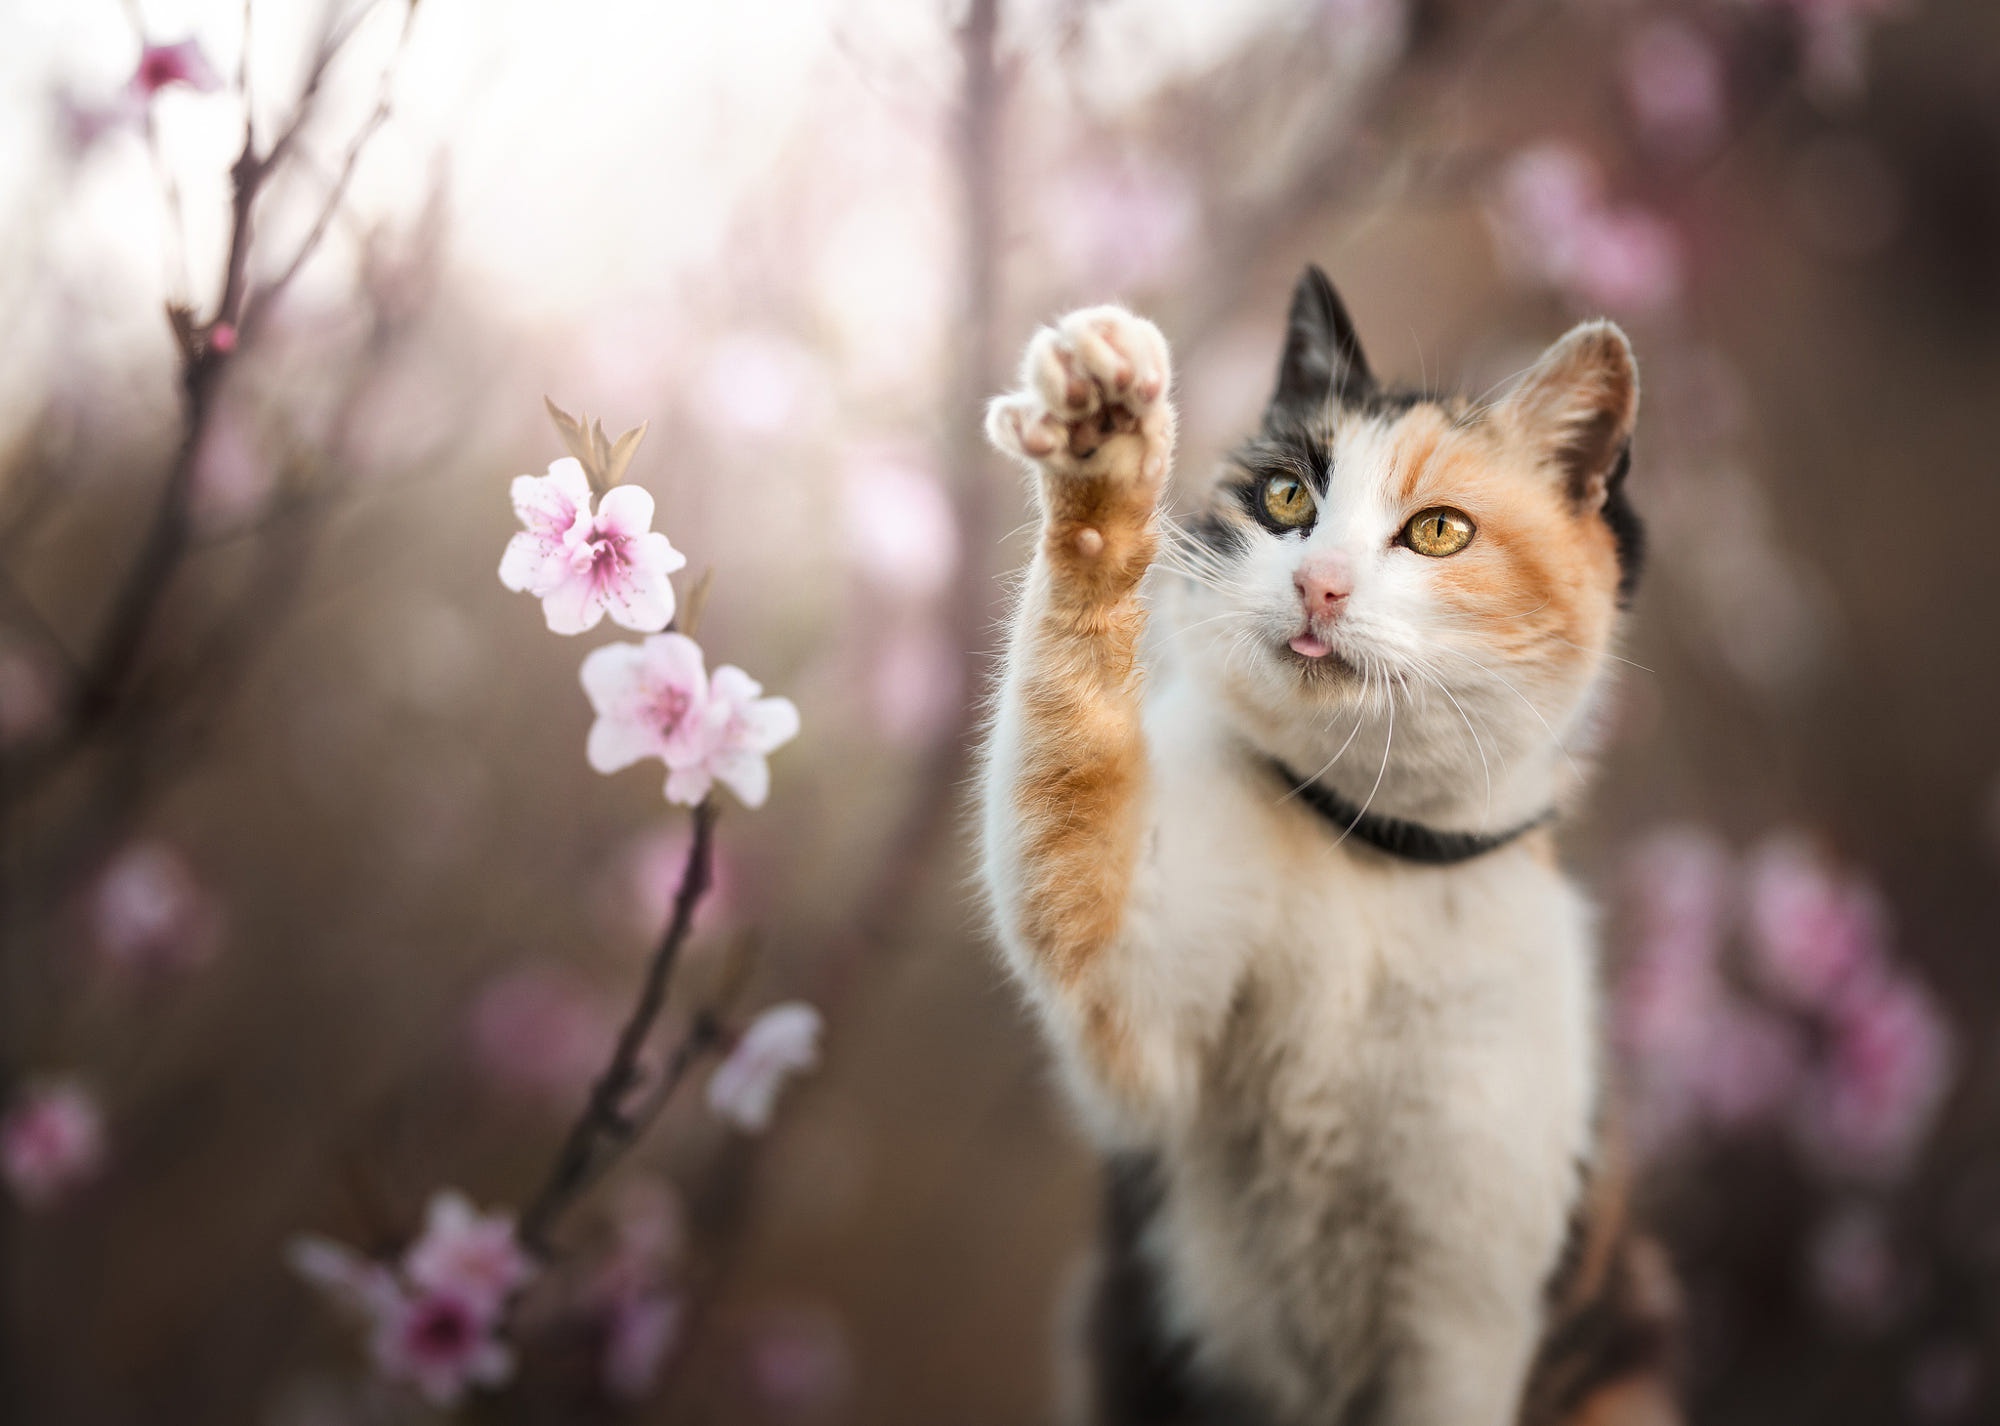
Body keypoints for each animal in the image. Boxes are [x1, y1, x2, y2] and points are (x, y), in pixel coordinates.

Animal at [976, 270, 1680, 1424]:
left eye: (1437, 531)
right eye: (1284, 501)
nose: (1319, 585)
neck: (1366, 855)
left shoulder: (1461, 1323)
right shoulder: (1139, 1001)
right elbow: (1068, 800)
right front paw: (1104, 453)